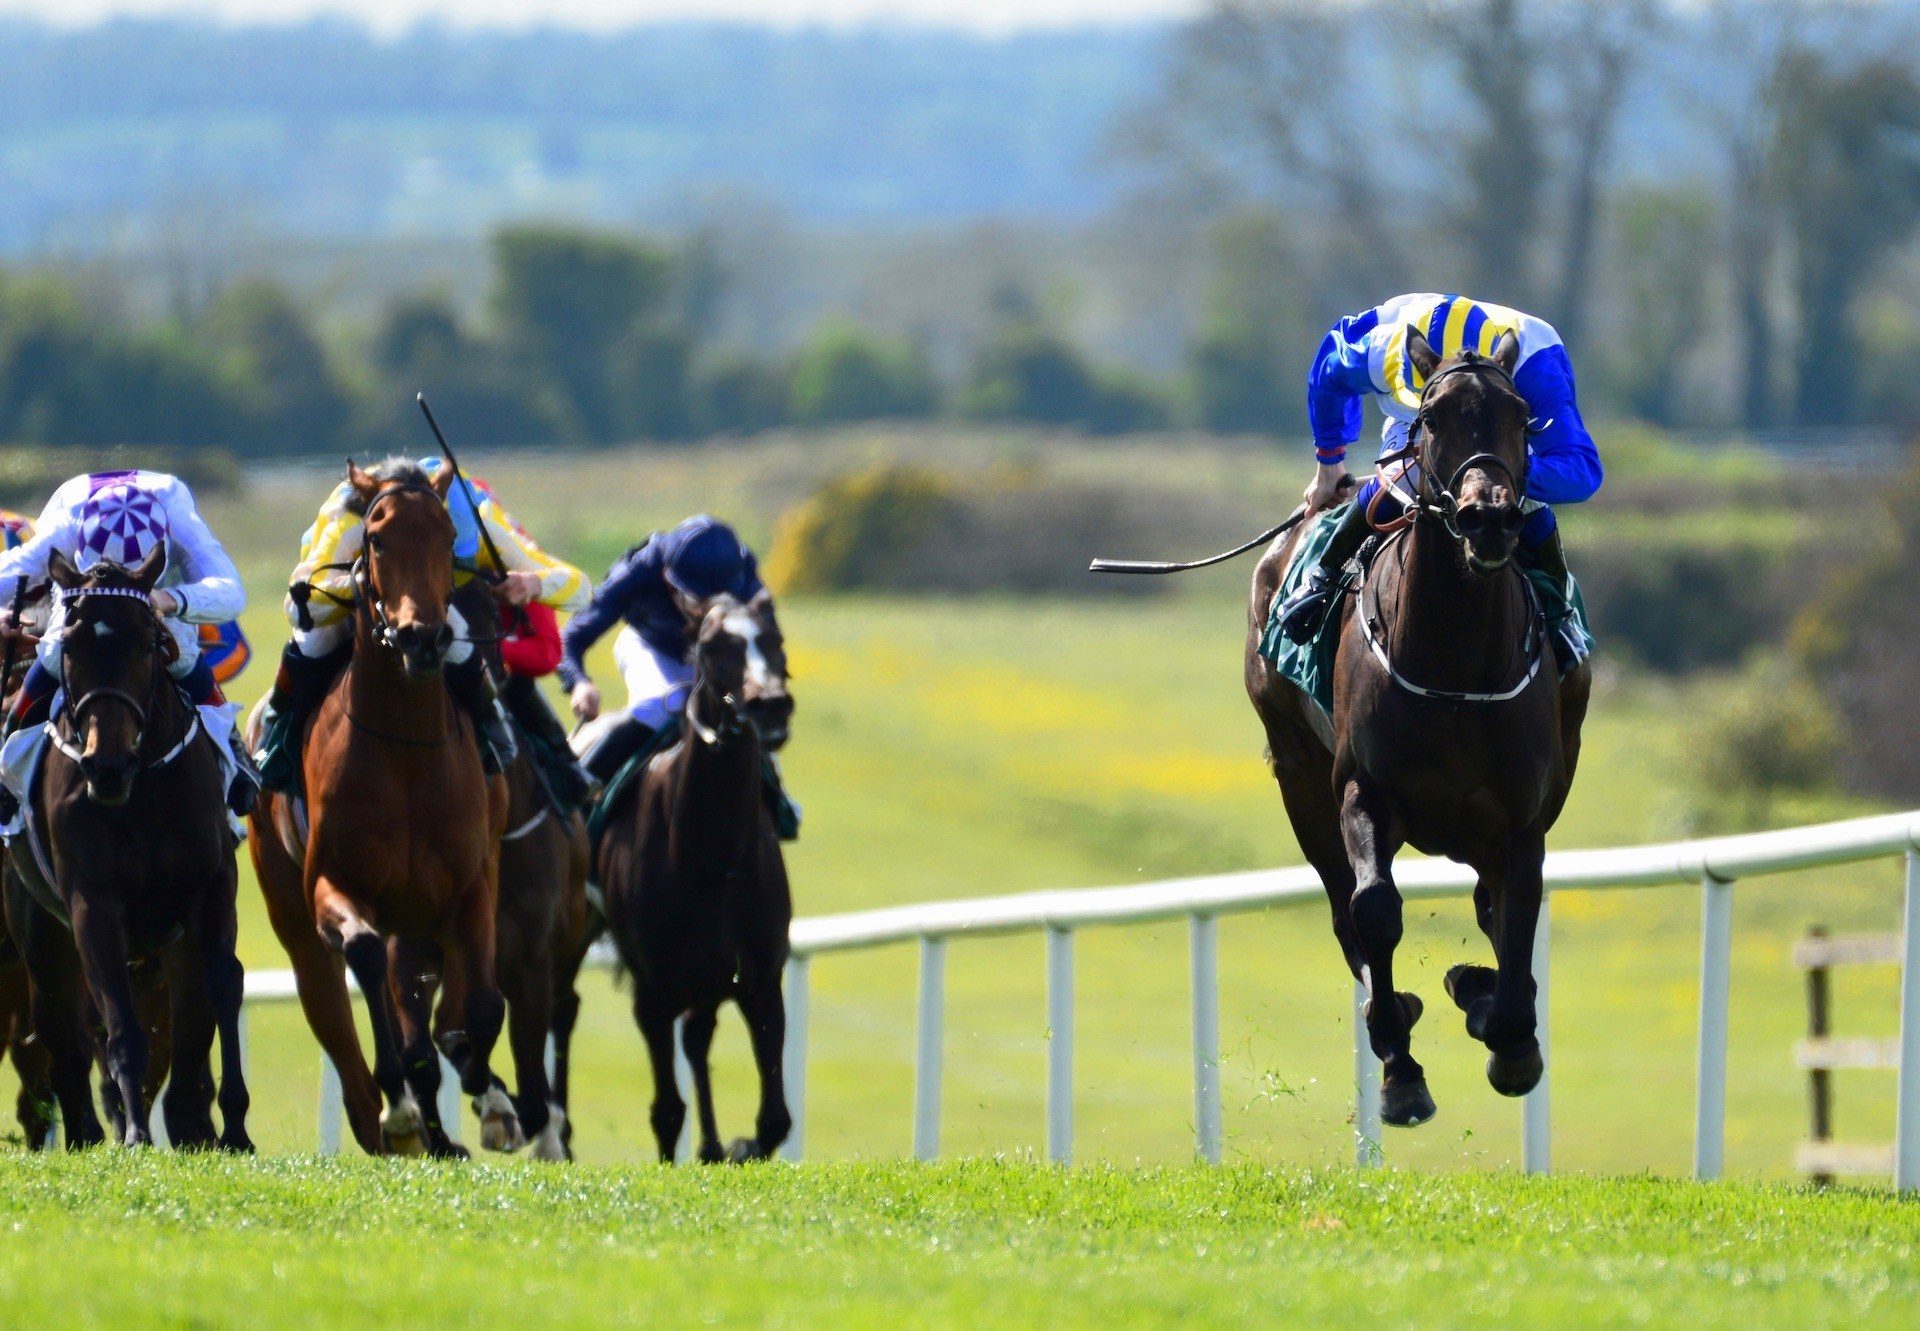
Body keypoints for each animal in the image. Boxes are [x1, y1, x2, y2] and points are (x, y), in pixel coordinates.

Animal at [0, 545, 251, 1144]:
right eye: (70, 646)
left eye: (146, 642)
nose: (106, 766)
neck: (142, 792)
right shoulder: (92, 903)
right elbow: (116, 1019)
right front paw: (135, 1132)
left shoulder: (211, 890)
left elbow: (221, 990)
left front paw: (232, 1126)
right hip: (36, 926)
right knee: (59, 1025)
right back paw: (87, 1132)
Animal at [251, 459, 514, 1152]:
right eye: (376, 538)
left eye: (448, 536)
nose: (423, 638)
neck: (406, 754)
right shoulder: (332, 883)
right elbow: (366, 956)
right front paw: (402, 1103)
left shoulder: (472, 883)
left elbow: (482, 1005)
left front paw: (487, 1094)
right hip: (292, 915)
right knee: (336, 1014)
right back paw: (391, 1119)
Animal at [583, 595, 794, 1160]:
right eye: (713, 645)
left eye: (774, 638)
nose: (770, 705)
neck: (709, 859)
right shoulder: (651, 990)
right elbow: (666, 1111)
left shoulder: (760, 977)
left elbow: (776, 1121)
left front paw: (738, 1147)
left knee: (697, 1040)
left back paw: (714, 1145)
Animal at [1244, 330, 1589, 1121]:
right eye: (1432, 417)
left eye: (1522, 418)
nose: (1489, 517)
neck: (1455, 663)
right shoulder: (1362, 790)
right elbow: (1373, 908)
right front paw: (1399, 1064)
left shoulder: (1522, 816)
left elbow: (1517, 913)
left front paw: (1508, 1030)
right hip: (1297, 775)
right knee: (1343, 904)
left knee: (1491, 907)